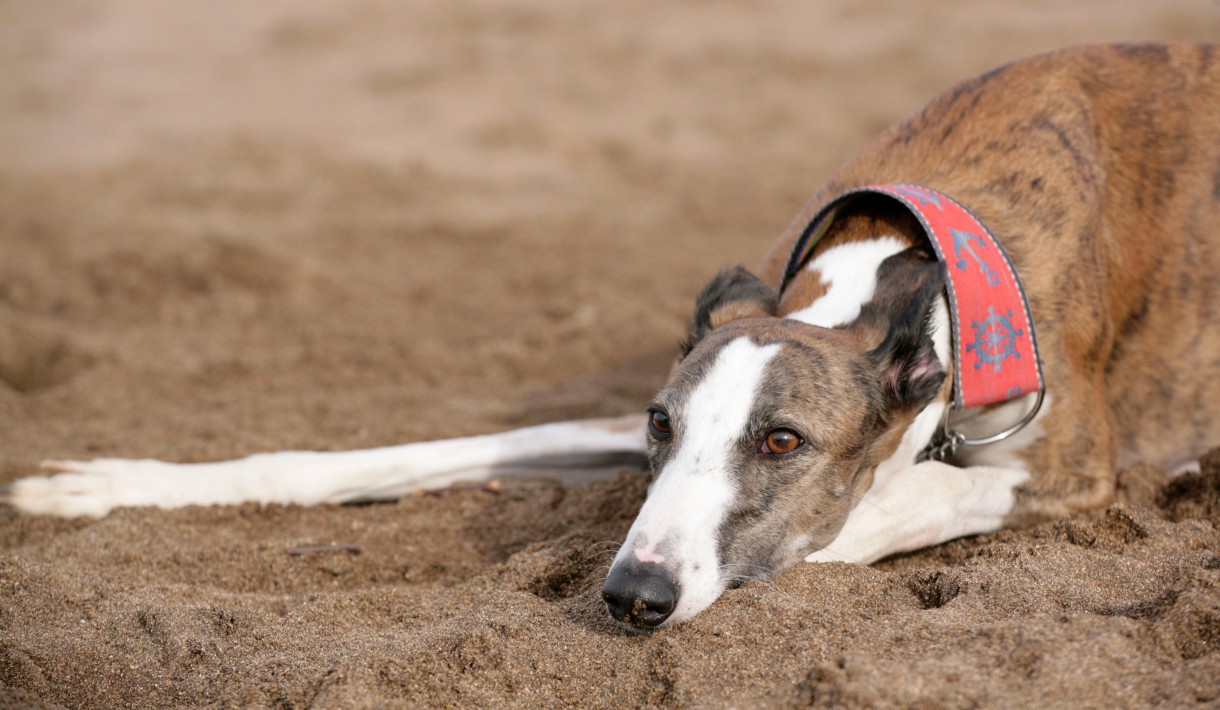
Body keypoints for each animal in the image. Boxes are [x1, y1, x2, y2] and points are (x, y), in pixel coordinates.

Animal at [4, 41, 1215, 629]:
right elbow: (412, 449)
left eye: (783, 441)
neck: (916, 256)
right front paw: (100, 486)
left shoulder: (1072, 469)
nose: (633, 597)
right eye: (660, 426)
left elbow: (872, 510)